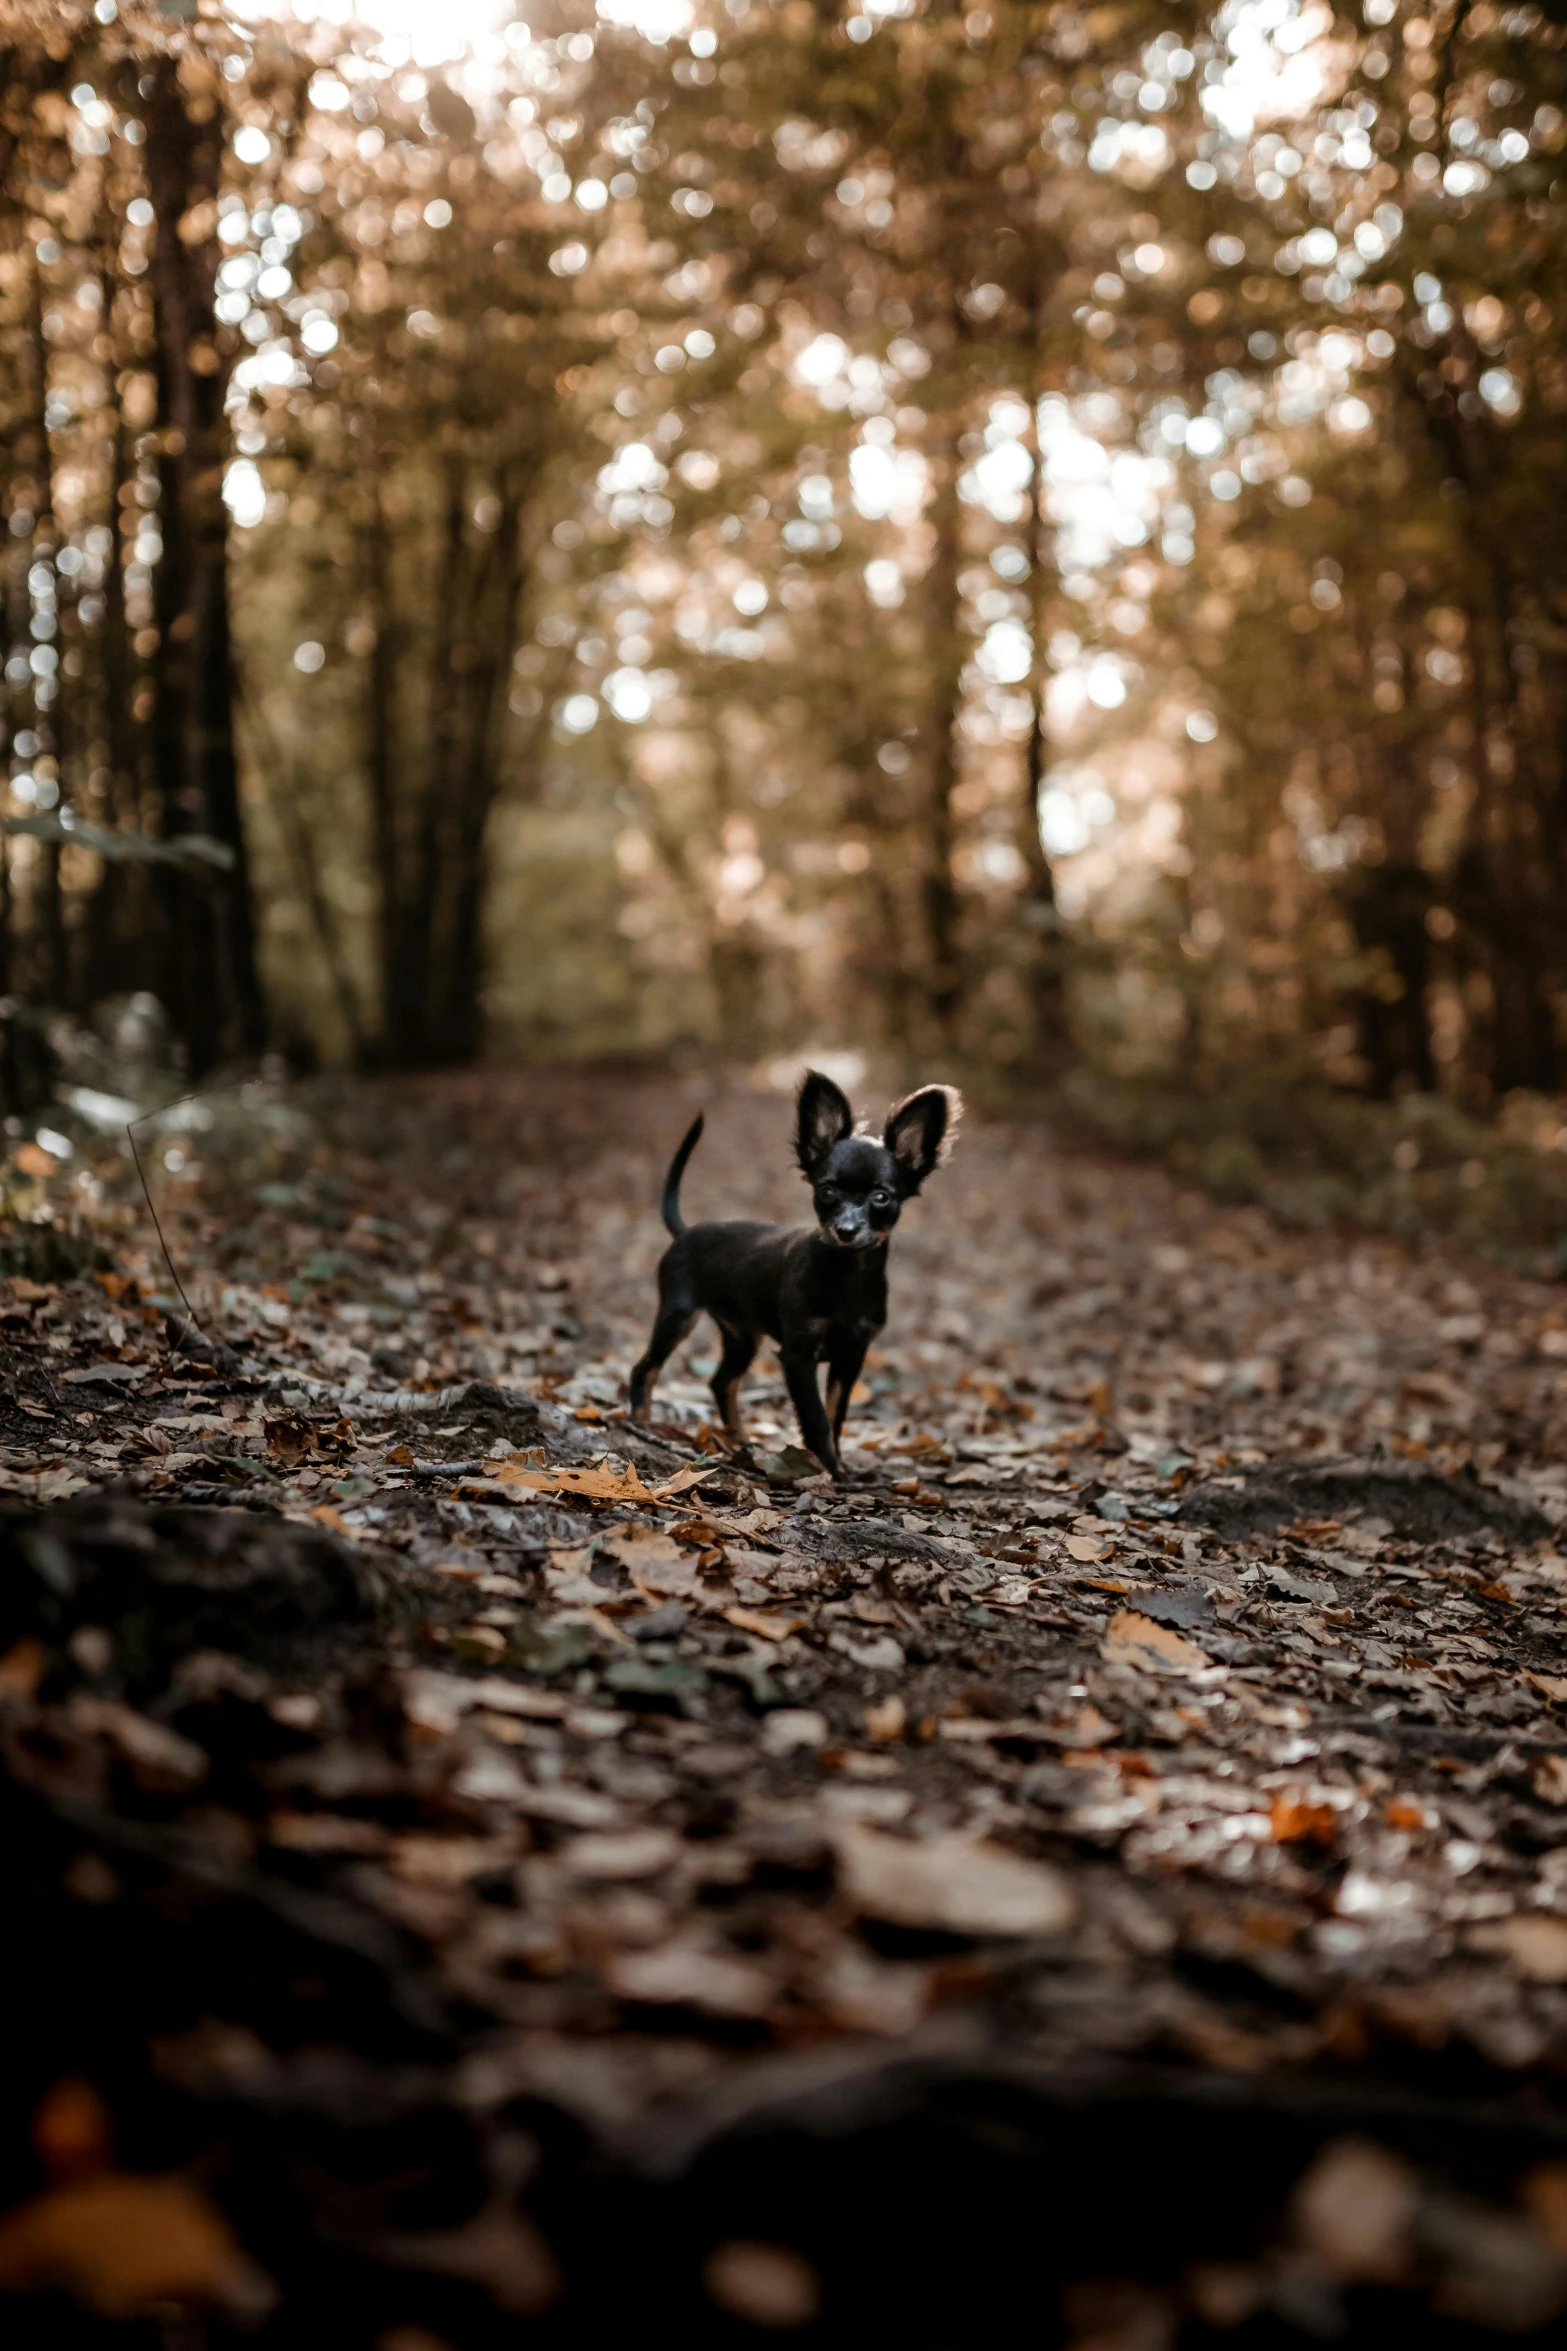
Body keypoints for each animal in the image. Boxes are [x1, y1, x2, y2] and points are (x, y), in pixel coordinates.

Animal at [629, 1076, 963, 1476]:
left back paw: (740, 1442)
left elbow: (836, 1414)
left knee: (722, 1382)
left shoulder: (852, 1354)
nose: (846, 1230)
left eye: (881, 1197)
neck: (846, 1275)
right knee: (645, 1368)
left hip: (742, 1337)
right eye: (827, 1191)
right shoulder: (798, 1356)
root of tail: (685, 1232)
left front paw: (839, 1463)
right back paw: (642, 1423)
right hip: (679, 1315)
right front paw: (829, 1468)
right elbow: (816, 1417)